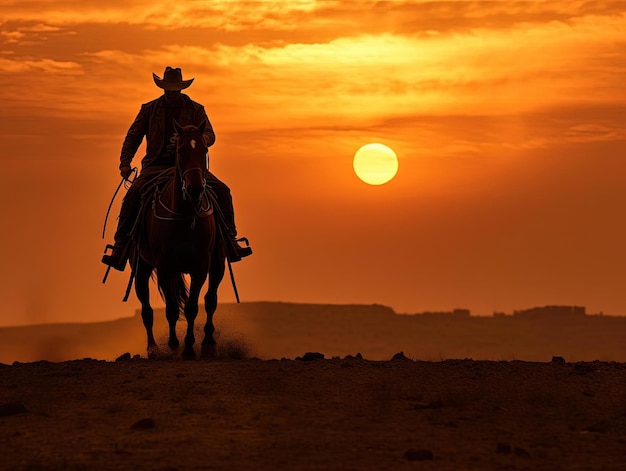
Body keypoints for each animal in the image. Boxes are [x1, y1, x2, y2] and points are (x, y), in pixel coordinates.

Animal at [130, 121, 225, 358]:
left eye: (204, 150)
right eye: (180, 151)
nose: (195, 188)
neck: (186, 216)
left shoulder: (201, 265)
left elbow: (192, 307)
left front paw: (190, 347)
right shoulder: (165, 265)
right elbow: (172, 308)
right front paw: (174, 345)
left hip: (218, 263)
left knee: (211, 299)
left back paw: (209, 341)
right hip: (142, 267)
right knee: (146, 307)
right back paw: (153, 348)